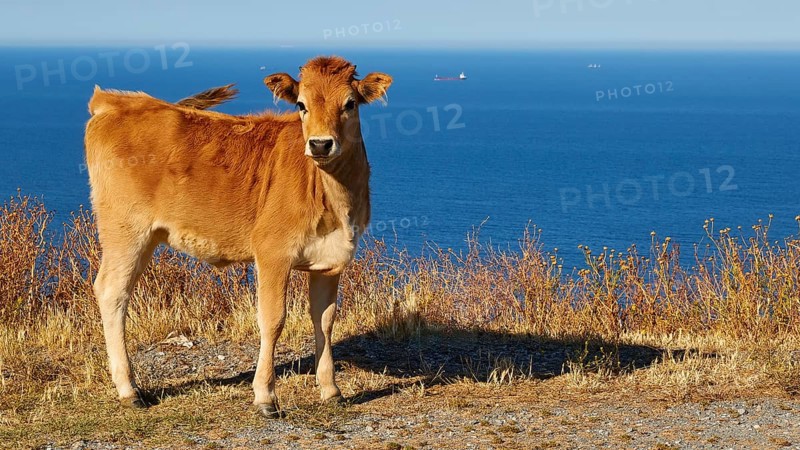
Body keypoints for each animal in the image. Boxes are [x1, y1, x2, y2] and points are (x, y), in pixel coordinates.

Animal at [84, 56, 392, 418]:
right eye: (301, 105)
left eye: (350, 103)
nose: (320, 144)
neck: (335, 201)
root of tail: (117, 101)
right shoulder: (273, 253)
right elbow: (273, 321)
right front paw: (265, 396)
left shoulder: (331, 261)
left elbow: (325, 321)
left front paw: (331, 390)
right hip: (125, 230)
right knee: (112, 292)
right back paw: (129, 390)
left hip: (146, 236)